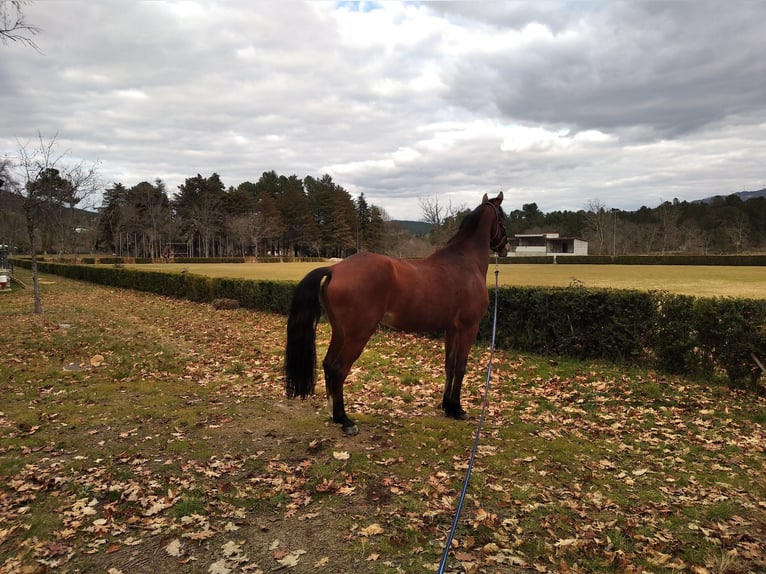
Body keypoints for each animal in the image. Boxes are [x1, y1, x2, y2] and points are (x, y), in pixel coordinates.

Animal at [284, 192, 509, 435]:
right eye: (503, 219)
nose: (505, 247)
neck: (465, 261)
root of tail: (335, 268)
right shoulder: (469, 327)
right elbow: (460, 366)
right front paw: (458, 409)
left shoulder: (452, 329)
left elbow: (449, 365)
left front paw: (447, 406)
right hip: (358, 334)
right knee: (338, 368)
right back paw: (345, 420)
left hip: (340, 332)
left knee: (327, 364)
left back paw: (334, 413)